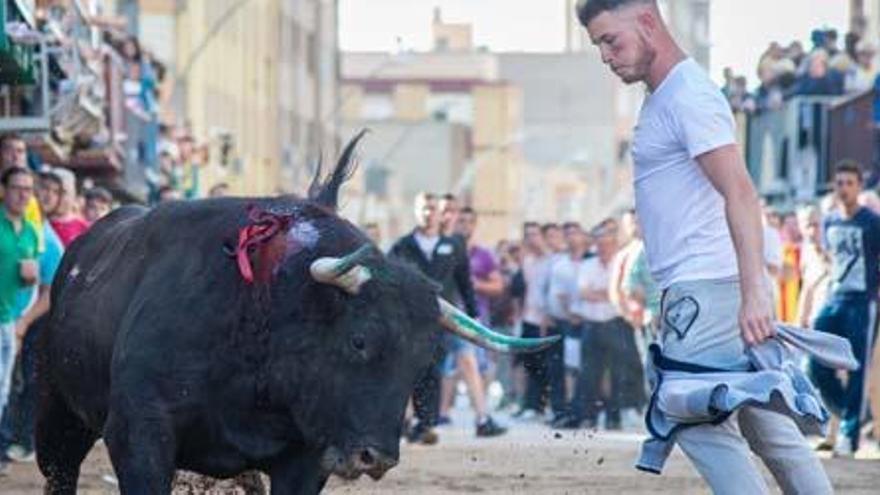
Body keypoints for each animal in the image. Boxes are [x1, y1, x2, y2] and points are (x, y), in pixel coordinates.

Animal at [37, 134, 556, 494]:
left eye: (425, 359)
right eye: (359, 340)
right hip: (60, 416)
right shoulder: (139, 435)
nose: (375, 457)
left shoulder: (305, 458)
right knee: (59, 471)